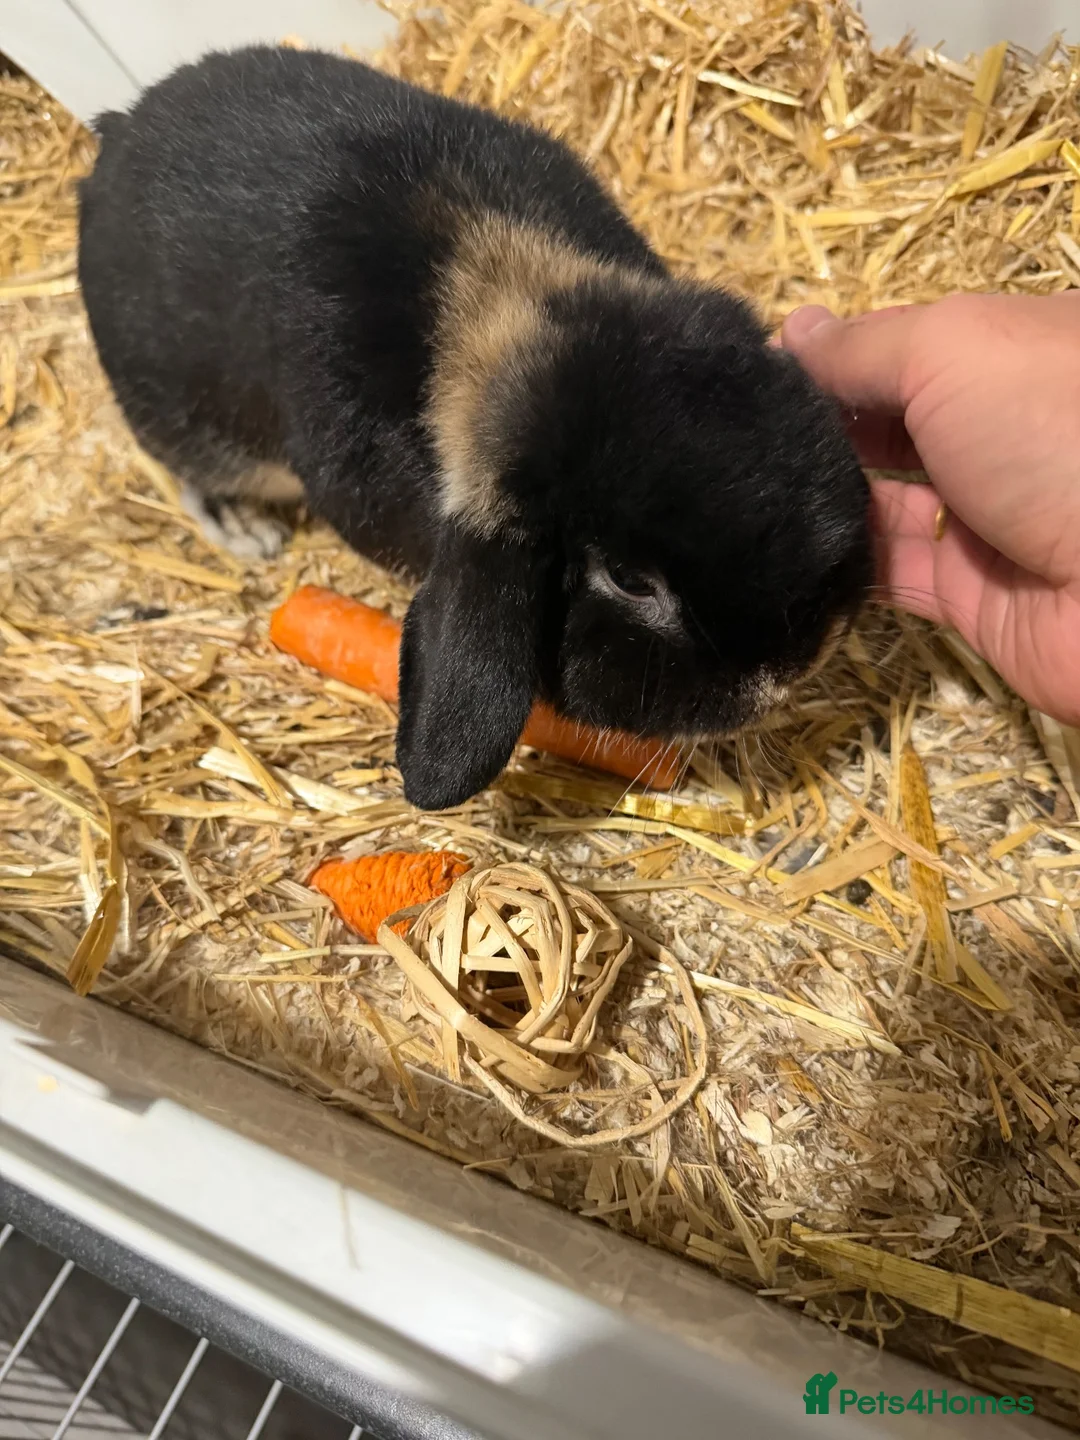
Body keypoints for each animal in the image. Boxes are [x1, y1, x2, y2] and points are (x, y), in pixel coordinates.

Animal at [78, 45, 872, 813]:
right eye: (629, 581)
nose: (790, 671)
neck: (501, 295)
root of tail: (114, 139)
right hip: (199, 431)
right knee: (193, 484)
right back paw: (251, 535)